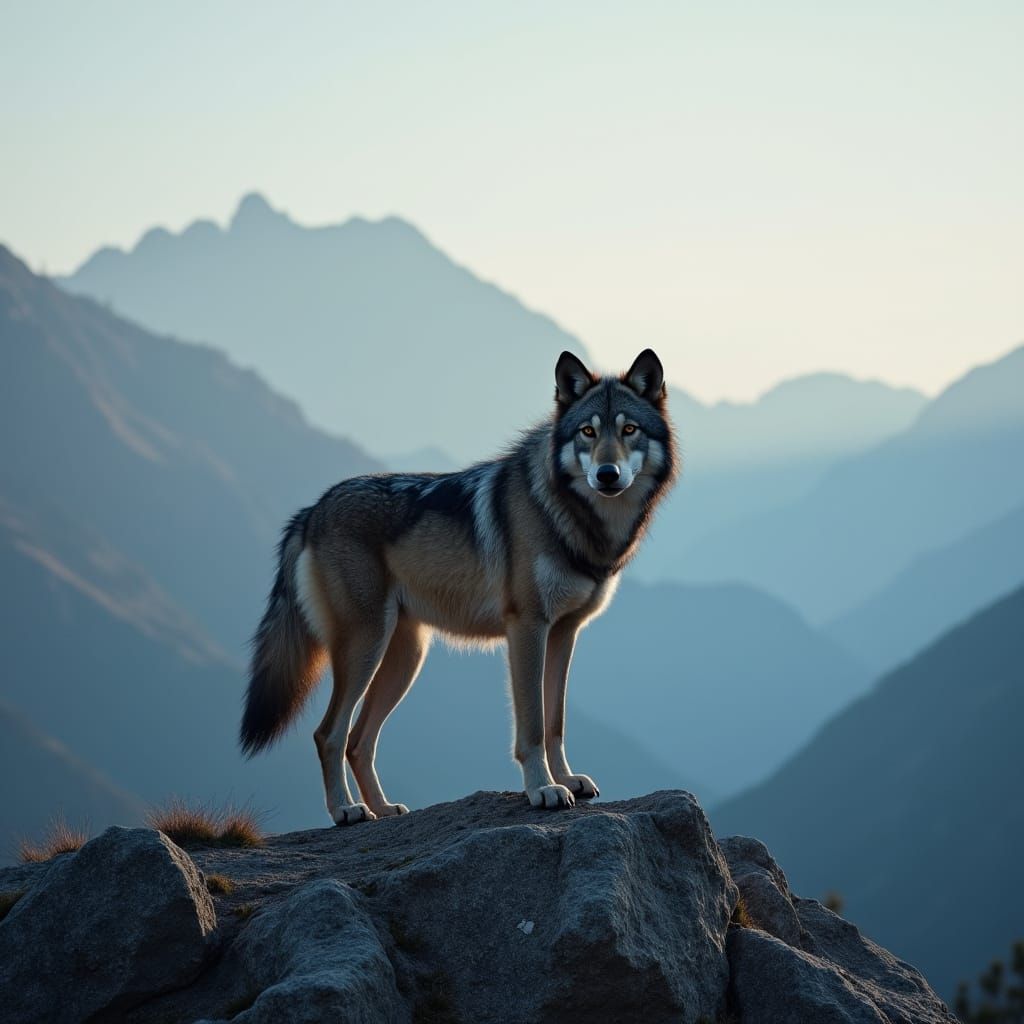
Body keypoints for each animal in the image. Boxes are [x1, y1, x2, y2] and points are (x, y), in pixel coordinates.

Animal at [240, 349, 677, 824]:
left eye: (629, 430)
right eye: (588, 432)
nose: (607, 473)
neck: (571, 516)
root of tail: (311, 511)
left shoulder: (564, 632)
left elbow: (555, 721)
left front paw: (567, 779)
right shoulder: (527, 628)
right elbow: (532, 727)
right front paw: (543, 790)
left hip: (405, 658)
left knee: (359, 741)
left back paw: (384, 808)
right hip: (366, 647)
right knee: (328, 734)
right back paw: (347, 810)